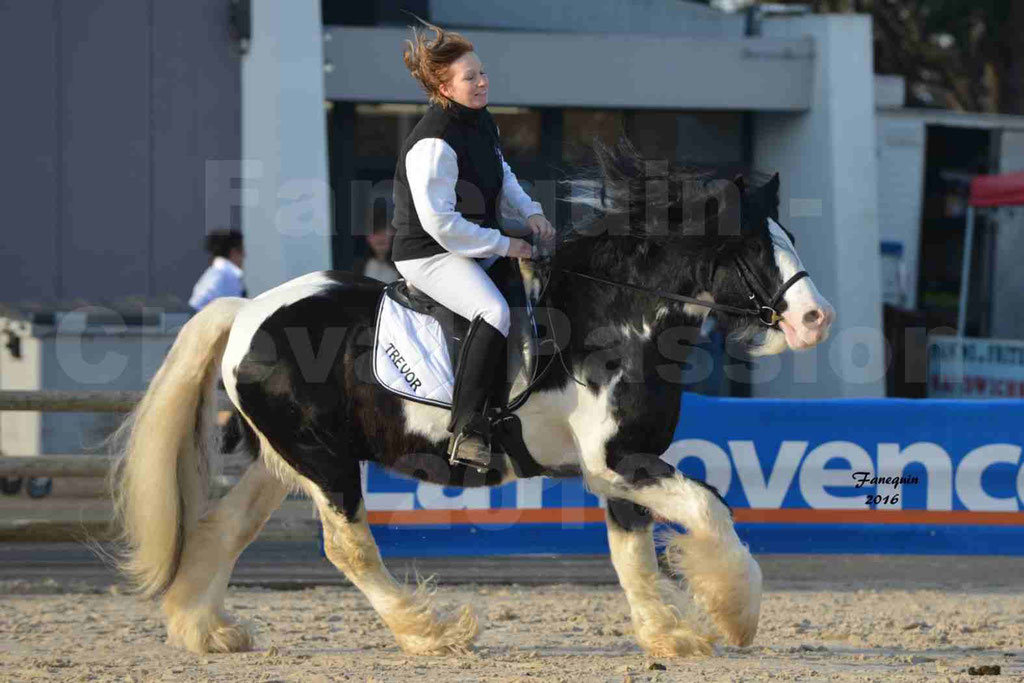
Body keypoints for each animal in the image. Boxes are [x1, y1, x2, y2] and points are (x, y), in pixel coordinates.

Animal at [110, 139, 831, 655]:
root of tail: (246, 311)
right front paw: (736, 616)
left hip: (286, 458)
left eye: (791, 237)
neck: (616, 320)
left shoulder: (625, 464)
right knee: (348, 548)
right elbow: (710, 508)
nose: (814, 319)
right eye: (749, 247)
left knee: (226, 525)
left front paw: (670, 636)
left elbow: (633, 554)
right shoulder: (617, 463)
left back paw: (207, 630)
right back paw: (430, 633)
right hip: (325, 463)